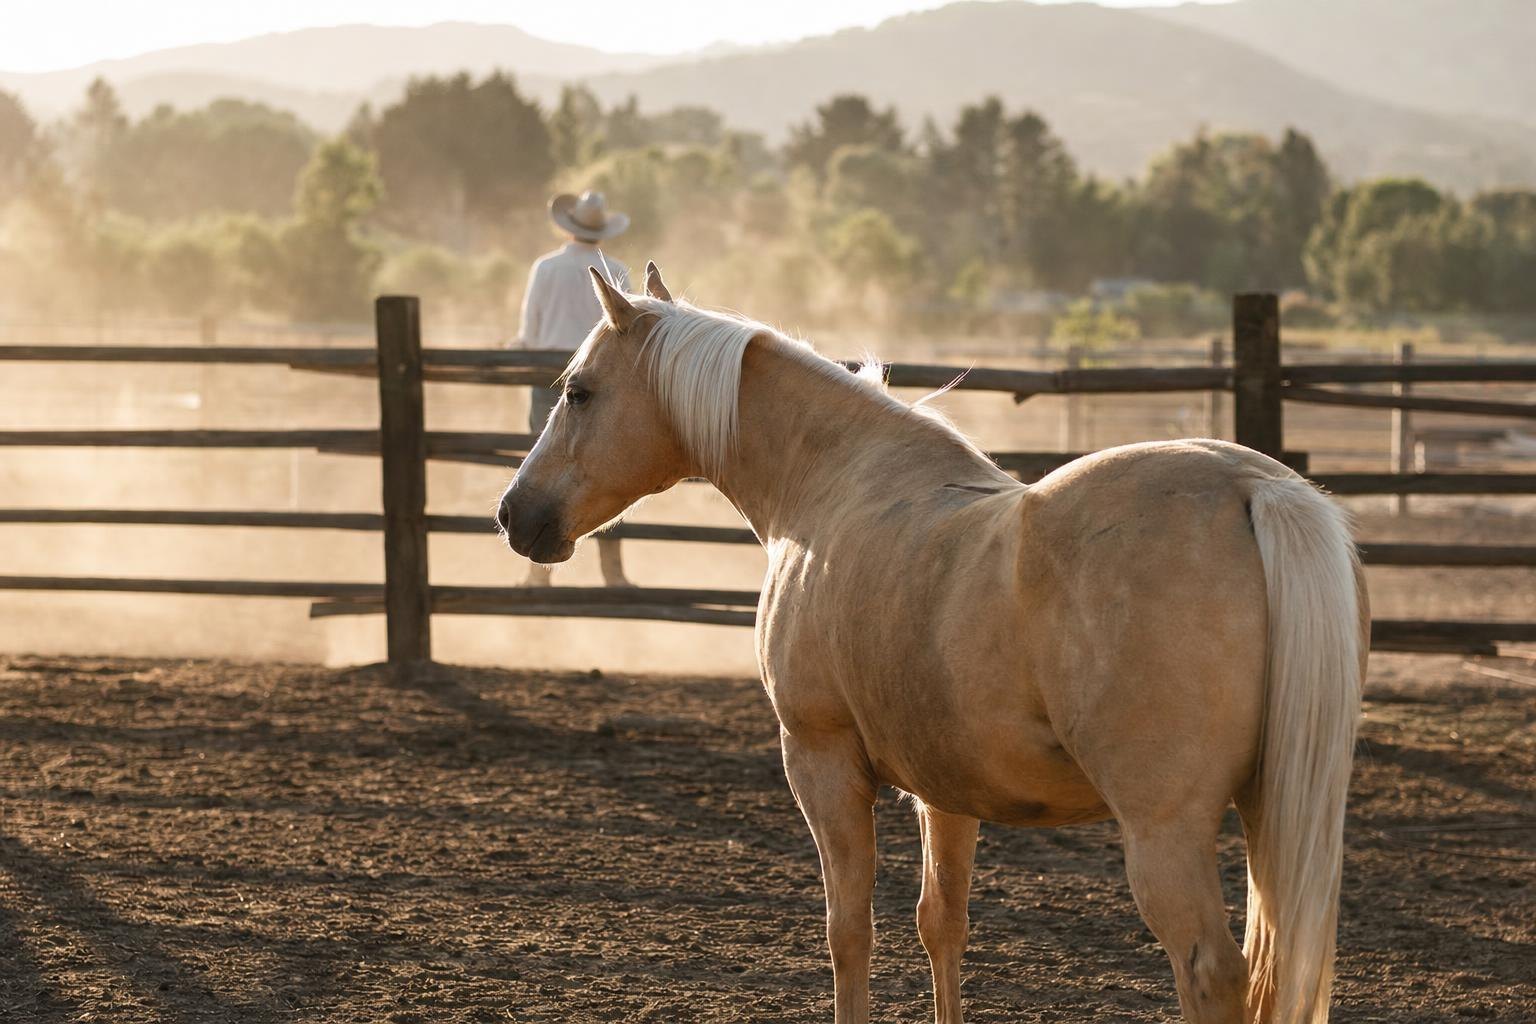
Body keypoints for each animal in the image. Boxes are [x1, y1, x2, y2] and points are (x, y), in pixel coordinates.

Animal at [496, 263, 1367, 1024]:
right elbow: (940, 923)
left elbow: (849, 932)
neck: (832, 485)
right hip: (1267, 811)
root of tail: (1253, 490)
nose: (514, 513)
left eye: (577, 391)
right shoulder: (946, 789)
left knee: (1212, 974)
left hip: (1165, 831)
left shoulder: (822, 763)